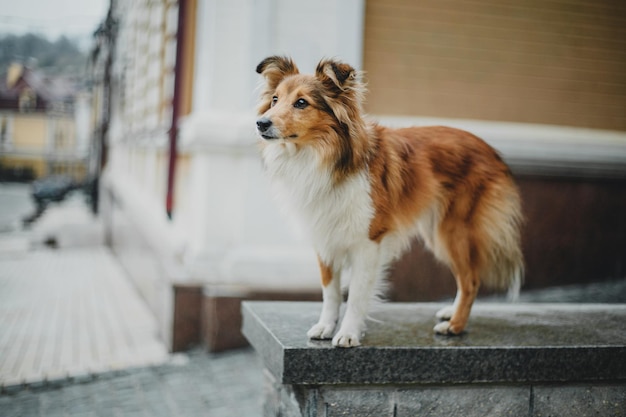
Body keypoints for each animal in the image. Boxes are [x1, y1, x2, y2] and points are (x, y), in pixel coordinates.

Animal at [254, 56, 520, 348]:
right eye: (275, 99)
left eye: (301, 103)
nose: (260, 123)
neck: (324, 157)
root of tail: (490, 149)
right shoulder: (325, 236)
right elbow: (330, 292)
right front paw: (325, 327)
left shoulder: (368, 242)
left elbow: (356, 295)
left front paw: (348, 333)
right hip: (437, 230)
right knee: (465, 279)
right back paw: (450, 313)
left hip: (453, 231)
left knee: (471, 279)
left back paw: (455, 326)